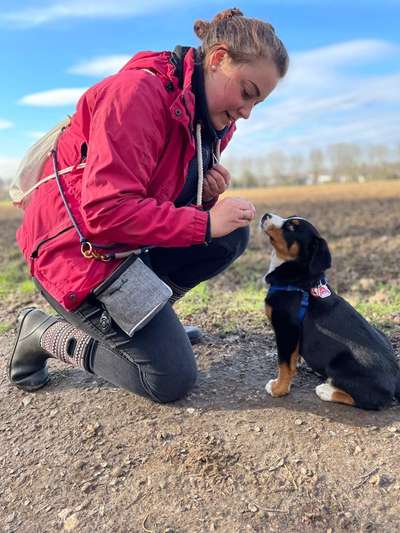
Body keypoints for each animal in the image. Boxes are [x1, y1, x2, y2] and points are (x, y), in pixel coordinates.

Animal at [260, 213, 398, 412]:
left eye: (291, 227)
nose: (266, 215)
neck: (299, 281)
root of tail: (396, 378)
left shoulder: (286, 328)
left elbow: (284, 364)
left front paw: (279, 388)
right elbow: (291, 360)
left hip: (341, 364)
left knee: (372, 400)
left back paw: (326, 390)